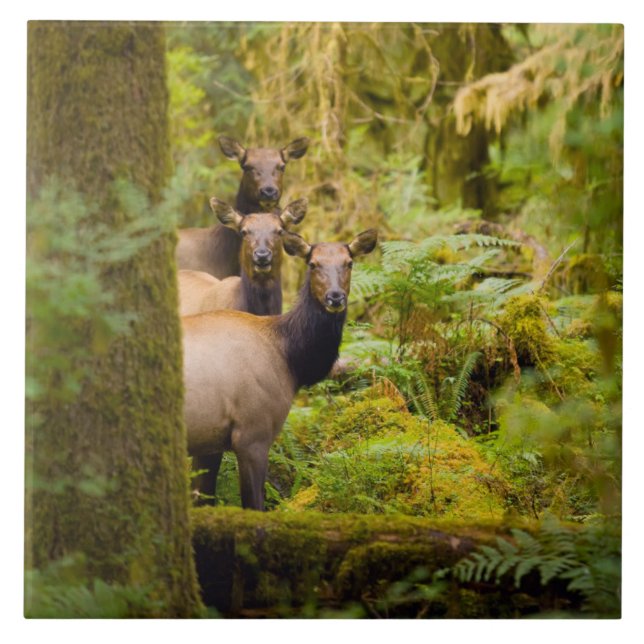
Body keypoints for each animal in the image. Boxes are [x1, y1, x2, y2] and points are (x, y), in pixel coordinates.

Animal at [182, 228, 378, 510]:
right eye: (313, 263)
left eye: (349, 262)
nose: (335, 297)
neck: (290, 360)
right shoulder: (253, 433)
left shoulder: (212, 439)